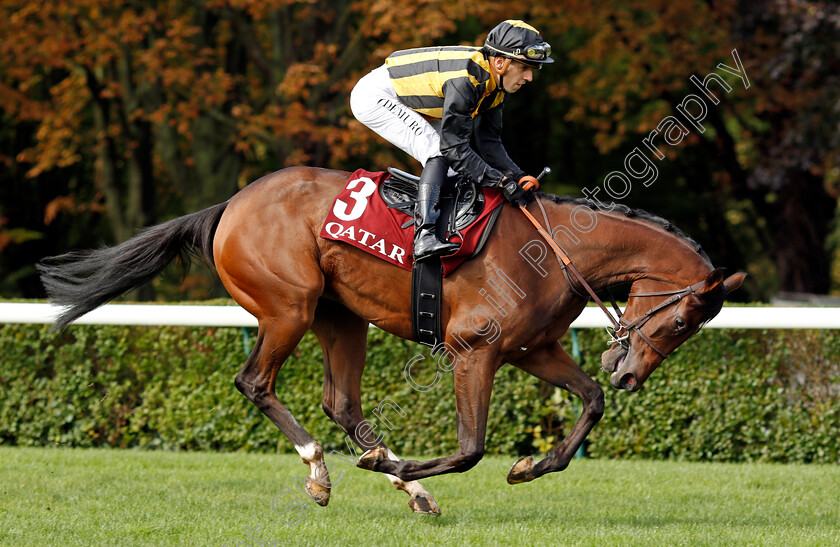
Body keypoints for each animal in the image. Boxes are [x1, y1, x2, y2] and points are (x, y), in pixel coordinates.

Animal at [41, 166, 748, 512]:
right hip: (288, 307)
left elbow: (590, 402)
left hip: (340, 316)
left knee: (343, 404)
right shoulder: (474, 350)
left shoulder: (533, 349)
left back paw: (404, 485)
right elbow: (469, 448)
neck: (557, 250)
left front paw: (531, 465)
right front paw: (403, 466)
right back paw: (325, 472)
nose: (632, 373)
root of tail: (230, 205)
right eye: (682, 322)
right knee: (255, 382)